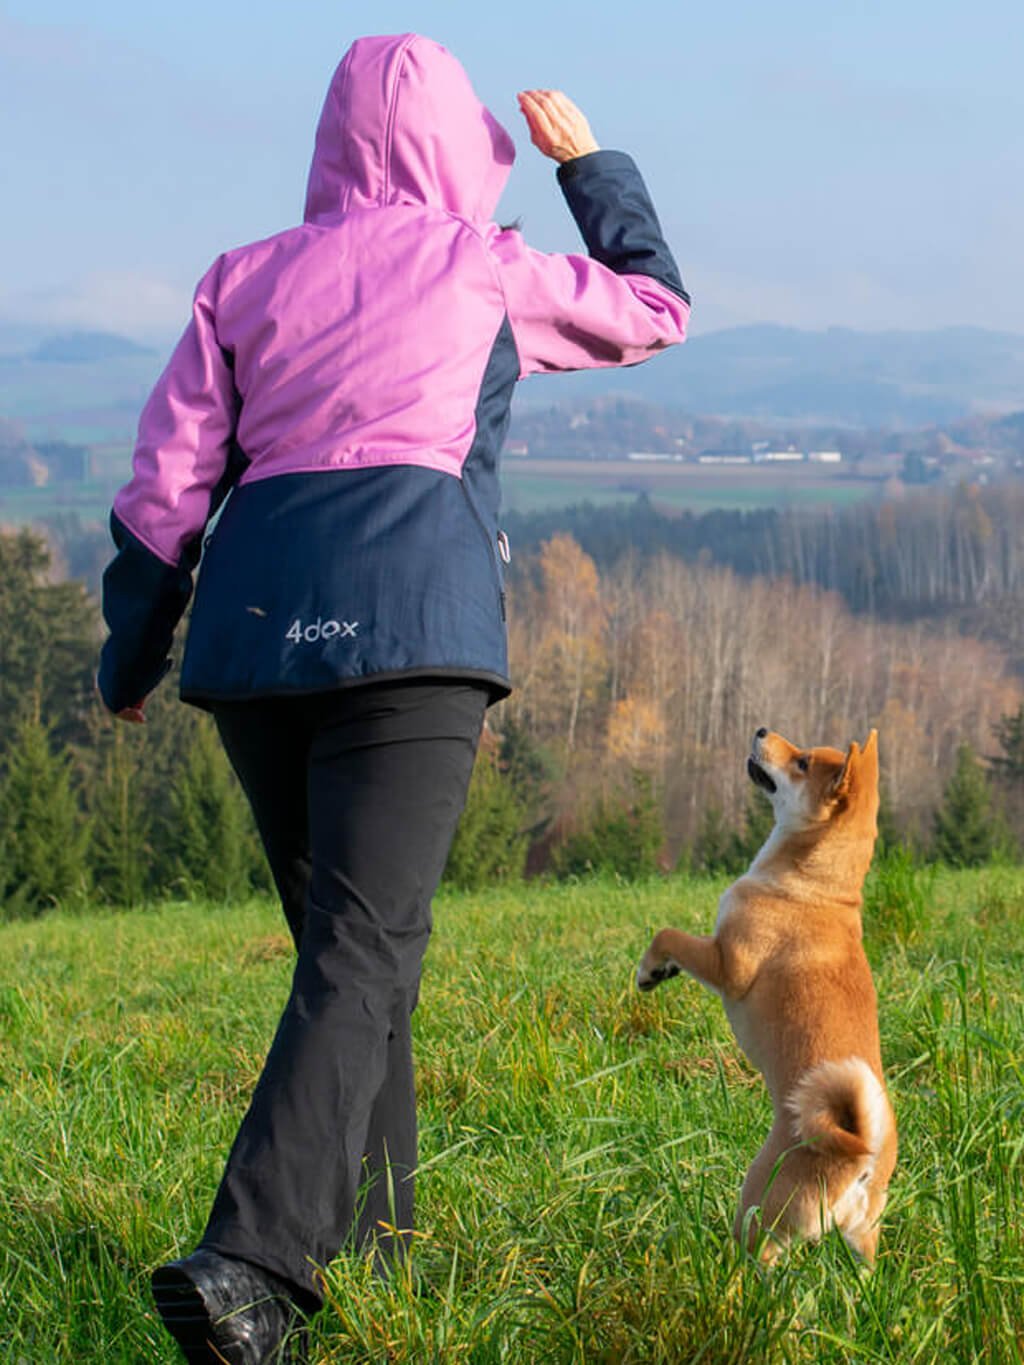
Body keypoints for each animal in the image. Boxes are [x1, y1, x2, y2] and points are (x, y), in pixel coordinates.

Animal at [641, 731, 895, 1261]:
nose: (760, 730)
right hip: (862, 1234)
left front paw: (651, 969)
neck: (819, 887)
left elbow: (669, 934)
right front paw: (664, 970)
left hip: (759, 1196)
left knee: (760, 1255)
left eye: (802, 763)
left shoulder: (727, 963)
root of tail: (859, 1153)